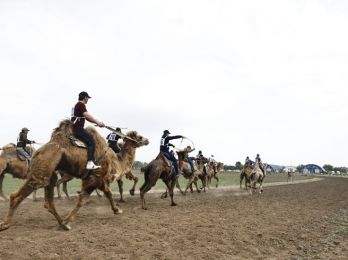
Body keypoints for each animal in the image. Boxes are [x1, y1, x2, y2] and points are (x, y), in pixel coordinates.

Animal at [0, 120, 147, 232]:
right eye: (139, 137)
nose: (147, 140)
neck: (116, 160)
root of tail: (37, 152)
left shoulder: (100, 179)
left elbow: (108, 193)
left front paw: (117, 209)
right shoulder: (94, 178)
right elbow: (83, 200)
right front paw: (68, 220)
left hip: (50, 174)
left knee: (49, 201)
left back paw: (61, 223)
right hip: (42, 172)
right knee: (17, 195)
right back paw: (5, 224)